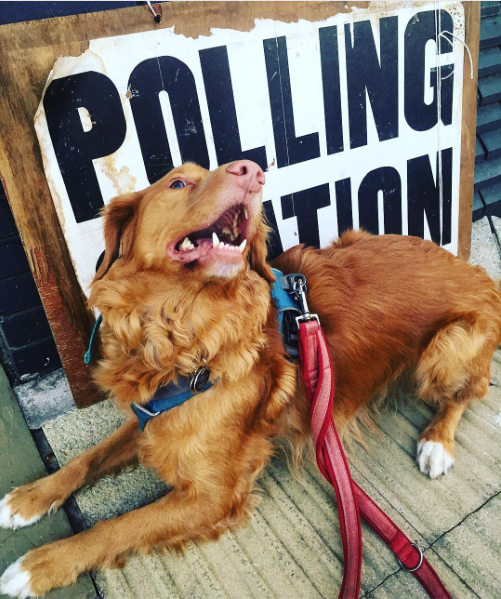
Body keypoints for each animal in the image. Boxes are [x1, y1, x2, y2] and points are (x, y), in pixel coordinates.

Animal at [0, 162, 500, 596]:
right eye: (177, 183)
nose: (252, 169)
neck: (181, 335)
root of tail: (479, 272)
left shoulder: (213, 496)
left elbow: (116, 528)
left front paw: (37, 566)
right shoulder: (152, 417)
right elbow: (89, 458)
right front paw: (30, 498)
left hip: (445, 350)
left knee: (467, 392)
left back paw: (437, 443)